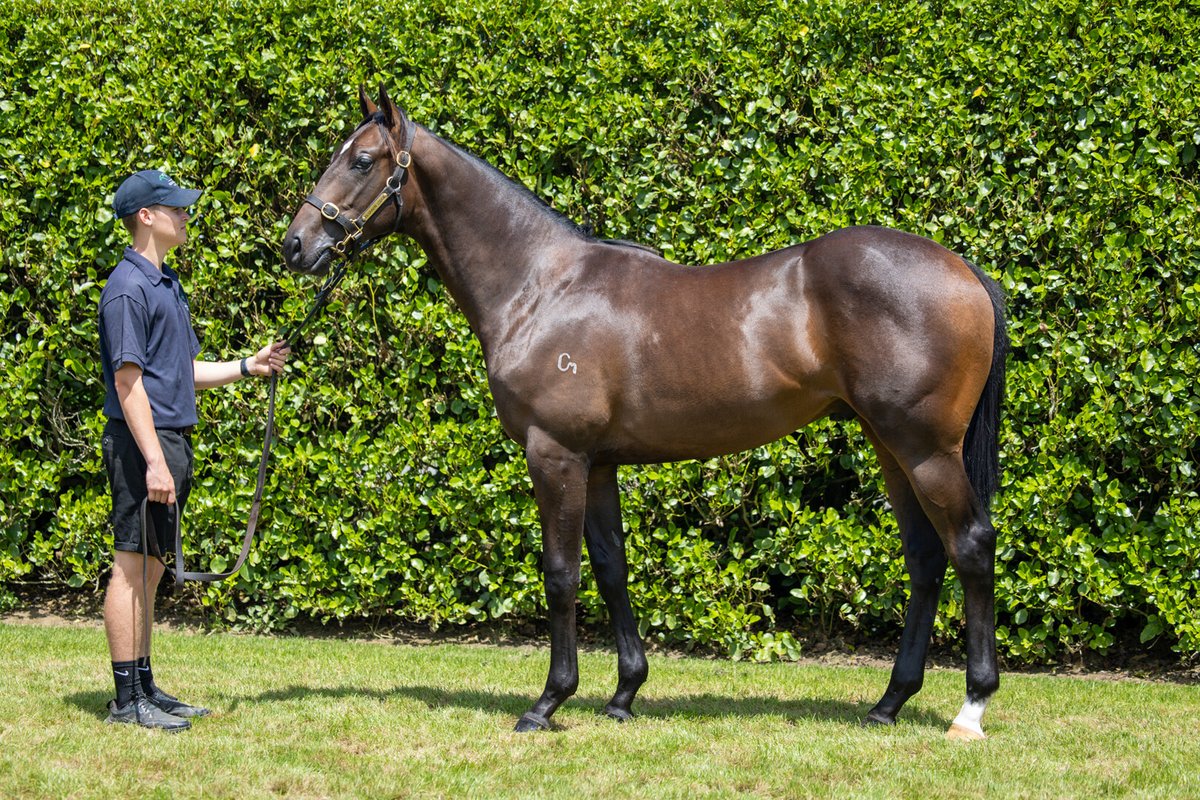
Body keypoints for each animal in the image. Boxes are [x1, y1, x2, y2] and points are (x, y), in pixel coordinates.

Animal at [283, 87, 1009, 741]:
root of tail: (964, 270)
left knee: (970, 545)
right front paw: (623, 694)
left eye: (362, 160)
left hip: (925, 449)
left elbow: (561, 574)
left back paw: (971, 707)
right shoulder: (599, 463)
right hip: (891, 447)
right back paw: (888, 703)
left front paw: (548, 703)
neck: (539, 286)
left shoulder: (556, 455)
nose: (294, 245)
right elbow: (611, 568)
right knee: (925, 558)